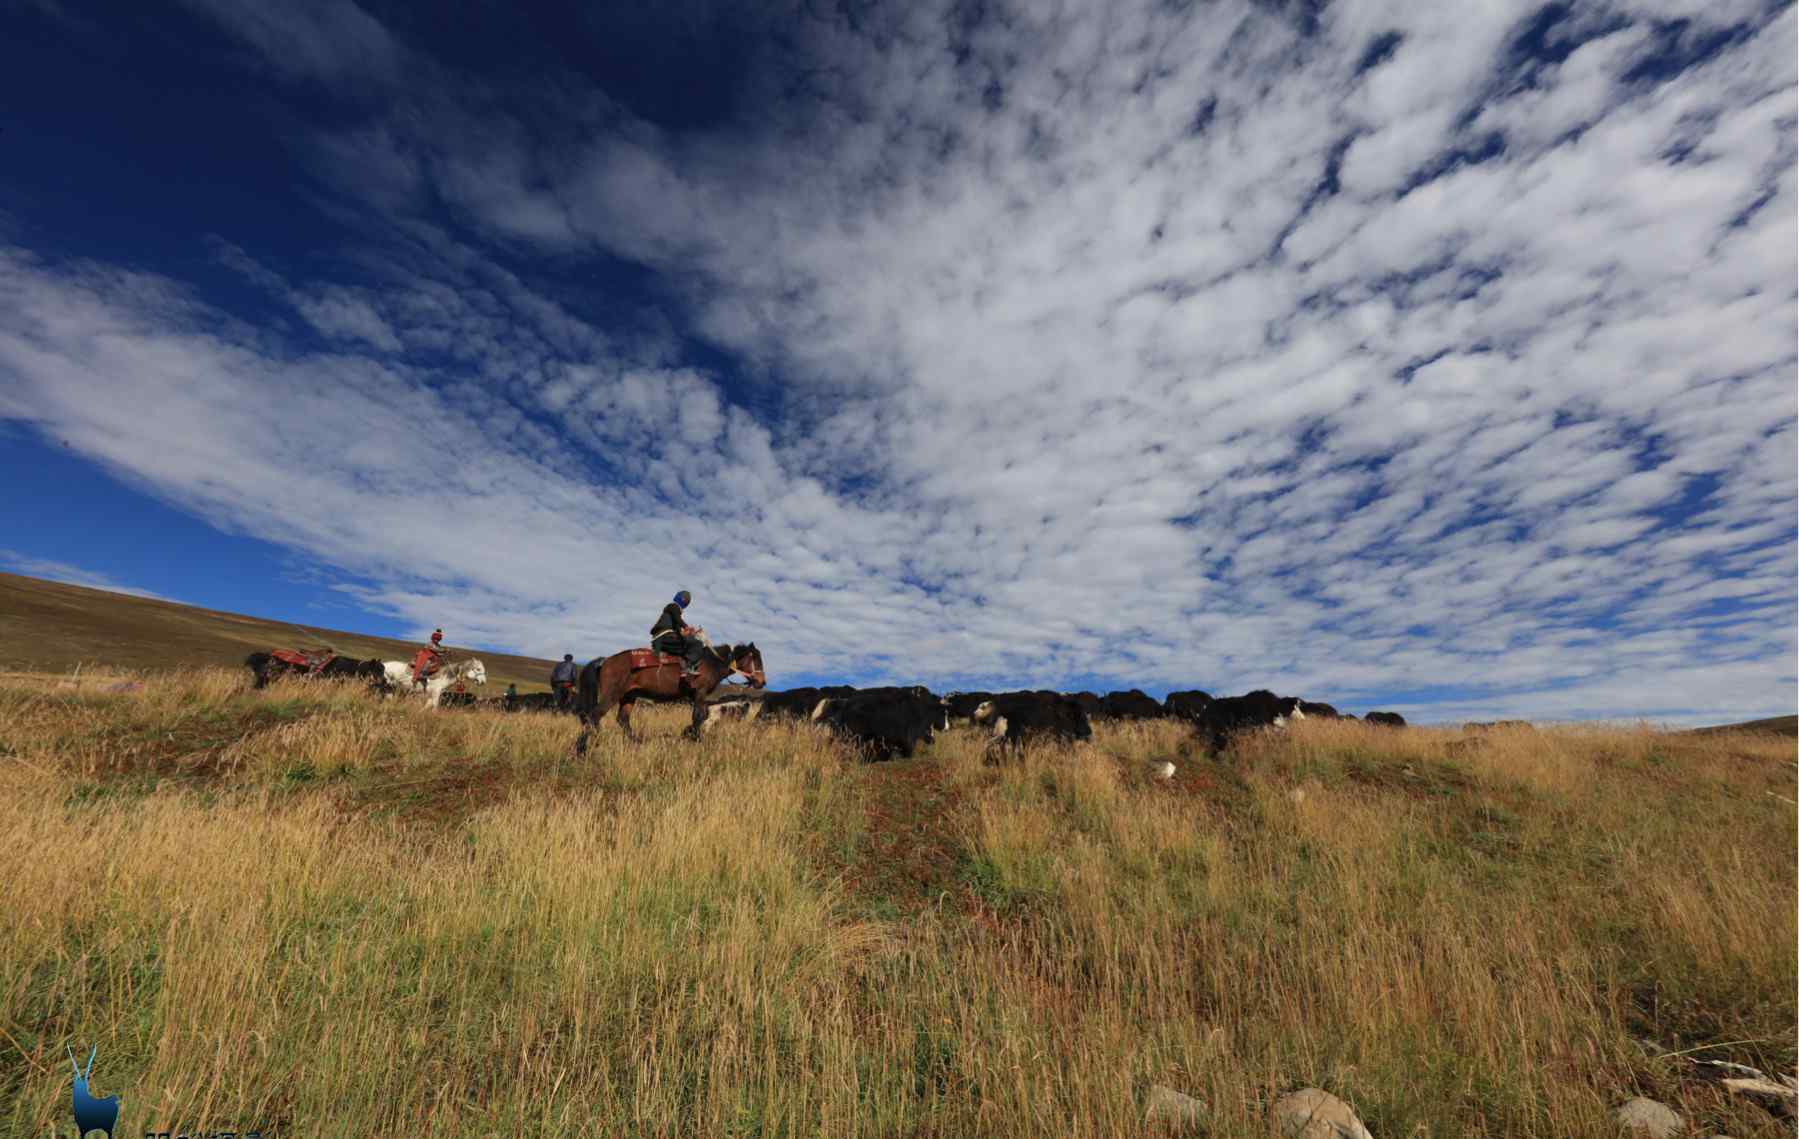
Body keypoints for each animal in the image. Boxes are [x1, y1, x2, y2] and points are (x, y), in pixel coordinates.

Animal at [572, 640, 762, 755]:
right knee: (594, 716)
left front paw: (690, 734)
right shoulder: (700, 693)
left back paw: (637, 743)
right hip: (613, 695)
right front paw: (695, 738)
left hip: (628, 697)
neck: (709, 662)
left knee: (622, 719)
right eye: (756, 659)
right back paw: (583, 748)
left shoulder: (696, 697)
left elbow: (699, 717)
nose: (762, 681)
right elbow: (699, 716)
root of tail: (604, 661)